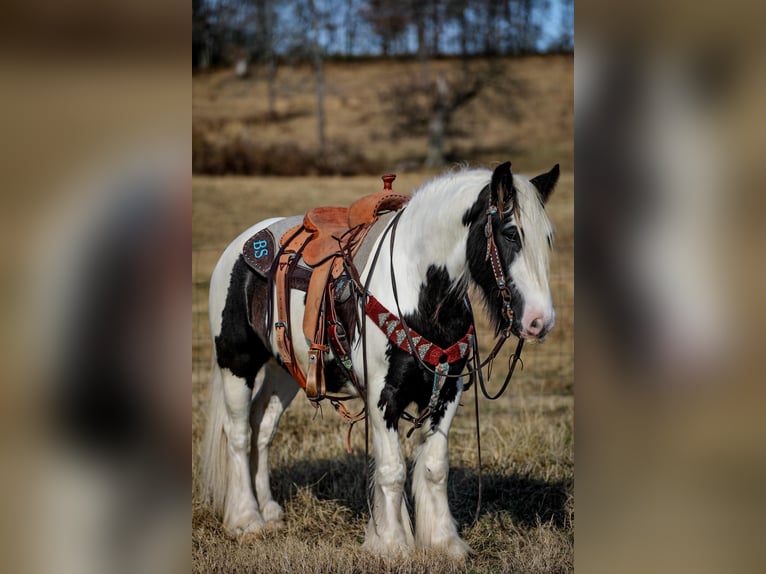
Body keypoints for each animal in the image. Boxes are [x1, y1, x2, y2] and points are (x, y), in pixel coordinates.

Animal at [198, 161, 560, 560]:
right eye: (511, 234)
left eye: (547, 239)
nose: (540, 321)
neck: (422, 295)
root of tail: (242, 243)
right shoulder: (382, 396)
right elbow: (392, 470)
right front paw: (392, 544)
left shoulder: (447, 391)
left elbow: (434, 467)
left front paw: (442, 542)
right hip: (237, 362)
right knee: (238, 433)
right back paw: (246, 520)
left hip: (286, 371)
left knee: (262, 427)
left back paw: (270, 512)